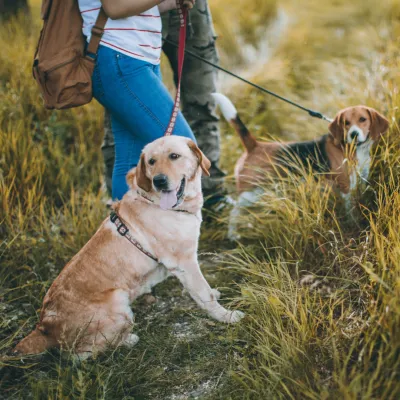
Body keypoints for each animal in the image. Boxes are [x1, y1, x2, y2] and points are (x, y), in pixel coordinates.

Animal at [14, 136, 244, 358]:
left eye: (174, 156)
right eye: (151, 161)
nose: (159, 181)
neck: (158, 203)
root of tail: (43, 327)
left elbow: (204, 291)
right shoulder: (184, 262)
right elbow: (204, 294)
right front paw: (226, 316)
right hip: (118, 300)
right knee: (79, 355)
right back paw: (127, 340)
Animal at [214, 93, 390, 238]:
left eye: (362, 119)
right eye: (346, 123)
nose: (353, 134)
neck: (354, 149)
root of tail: (254, 146)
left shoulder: (360, 182)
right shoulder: (346, 186)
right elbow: (351, 210)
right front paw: (355, 225)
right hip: (250, 193)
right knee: (234, 212)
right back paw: (233, 235)